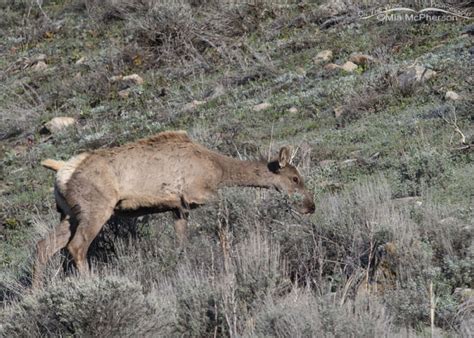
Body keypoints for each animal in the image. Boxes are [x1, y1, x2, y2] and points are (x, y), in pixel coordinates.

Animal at [32, 131, 314, 286]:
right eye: (295, 178)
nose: (310, 206)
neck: (218, 171)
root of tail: (61, 172)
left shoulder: (179, 208)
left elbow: (181, 243)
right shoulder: (197, 193)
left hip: (69, 214)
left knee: (43, 245)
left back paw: (35, 294)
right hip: (96, 208)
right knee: (76, 247)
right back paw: (90, 284)